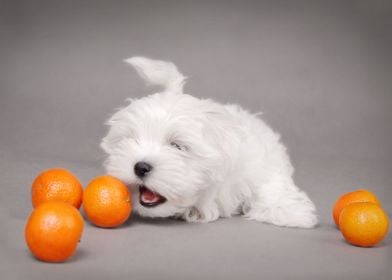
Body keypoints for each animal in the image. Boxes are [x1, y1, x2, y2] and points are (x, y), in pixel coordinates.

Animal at [101, 56, 318, 228]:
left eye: (177, 146)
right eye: (131, 139)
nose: (140, 167)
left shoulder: (261, 165)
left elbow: (271, 185)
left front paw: (289, 211)